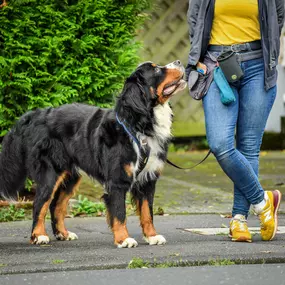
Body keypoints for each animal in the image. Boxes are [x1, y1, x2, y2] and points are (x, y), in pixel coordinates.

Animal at [0, 59, 186, 246]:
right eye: (156, 70)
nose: (179, 61)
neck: (138, 126)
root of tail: (35, 114)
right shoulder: (117, 181)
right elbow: (119, 213)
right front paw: (124, 239)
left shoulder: (147, 180)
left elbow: (148, 212)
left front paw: (152, 236)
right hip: (50, 174)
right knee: (39, 203)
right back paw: (38, 235)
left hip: (70, 177)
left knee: (56, 205)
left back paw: (63, 234)